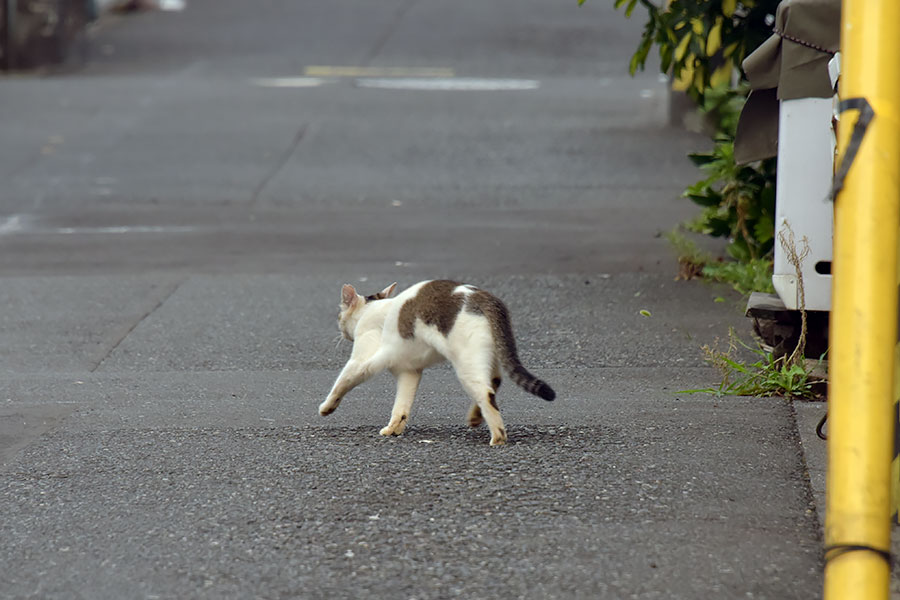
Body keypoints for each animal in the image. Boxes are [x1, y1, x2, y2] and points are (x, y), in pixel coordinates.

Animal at [320, 282, 552, 446]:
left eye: (339, 315)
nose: (340, 329)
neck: (369, 310)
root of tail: (486, 297)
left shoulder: (361, 360)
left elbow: (342, 383)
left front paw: (326, 408)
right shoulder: (409, 371)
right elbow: (401, 405)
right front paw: (394, 428)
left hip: (466, 363)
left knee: (487, 394)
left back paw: (498, 438)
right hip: (488, 355)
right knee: (494, 382)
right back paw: (476, 417)